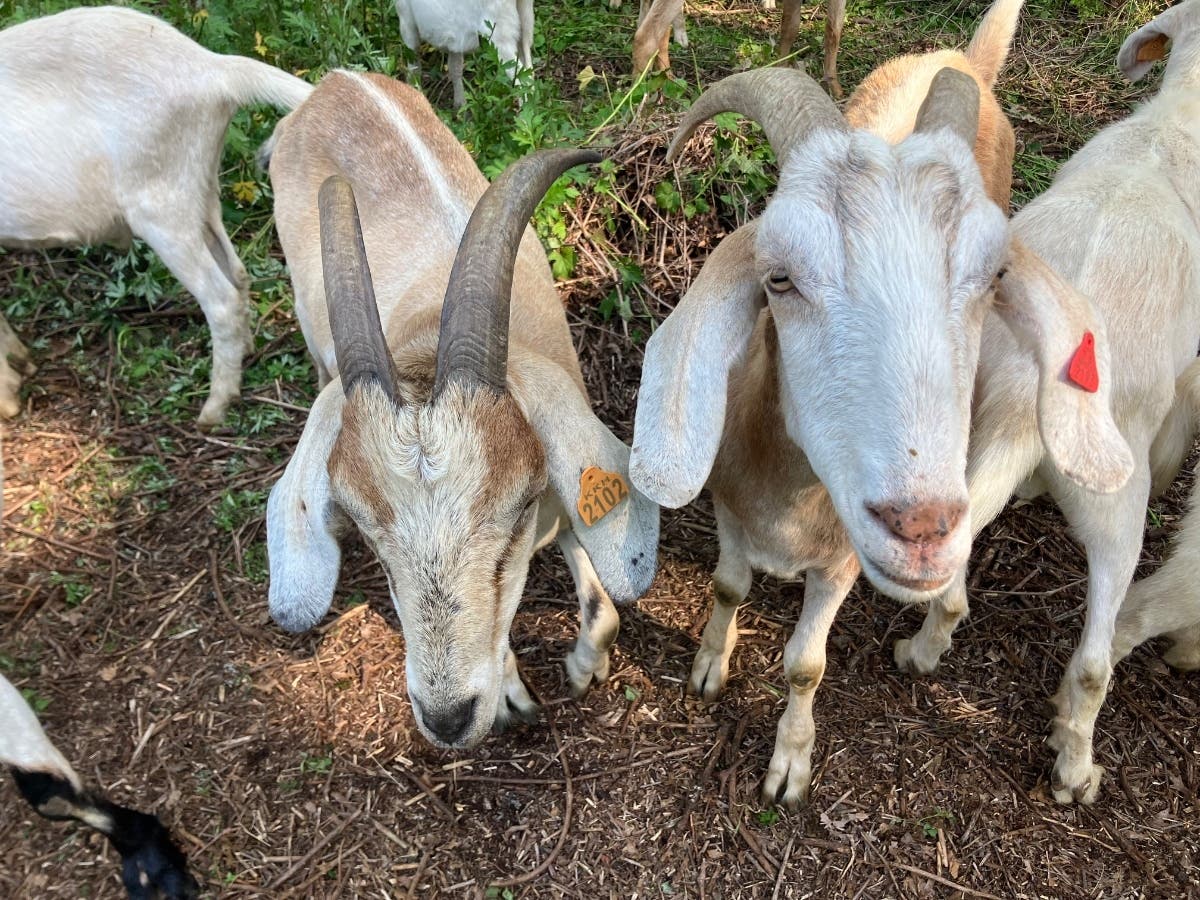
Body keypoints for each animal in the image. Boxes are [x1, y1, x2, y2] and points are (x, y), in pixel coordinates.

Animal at [0, 6, 311, 428]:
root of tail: (212, 68)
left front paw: (8, 399)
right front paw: (22, 365)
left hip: (160, 204)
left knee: (220, 298)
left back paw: (214, 407)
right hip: (199, 189)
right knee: (237, 271)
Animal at [265, 72, 658, 750]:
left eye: (520, 502)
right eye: (359, 522)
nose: (448, 718)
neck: (425, 335)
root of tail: (332, 84)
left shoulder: (557, 498)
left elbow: (600, 600)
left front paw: (585, 667)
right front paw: (511, 693)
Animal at [397, 0, 534, 108]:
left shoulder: (406, 18)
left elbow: (413, 66)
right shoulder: (454, 41)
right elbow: (455, 68)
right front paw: (460, 105)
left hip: (500, 35)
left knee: (520, 79)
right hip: (525, 24)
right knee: (529, 73)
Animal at [900, 0, 1200, 804]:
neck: (1173, 130)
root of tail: (1021, 397)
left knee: (952, 587)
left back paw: (920, 654)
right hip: (1116, 514)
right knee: (1095, 662)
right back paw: (1074, 769)